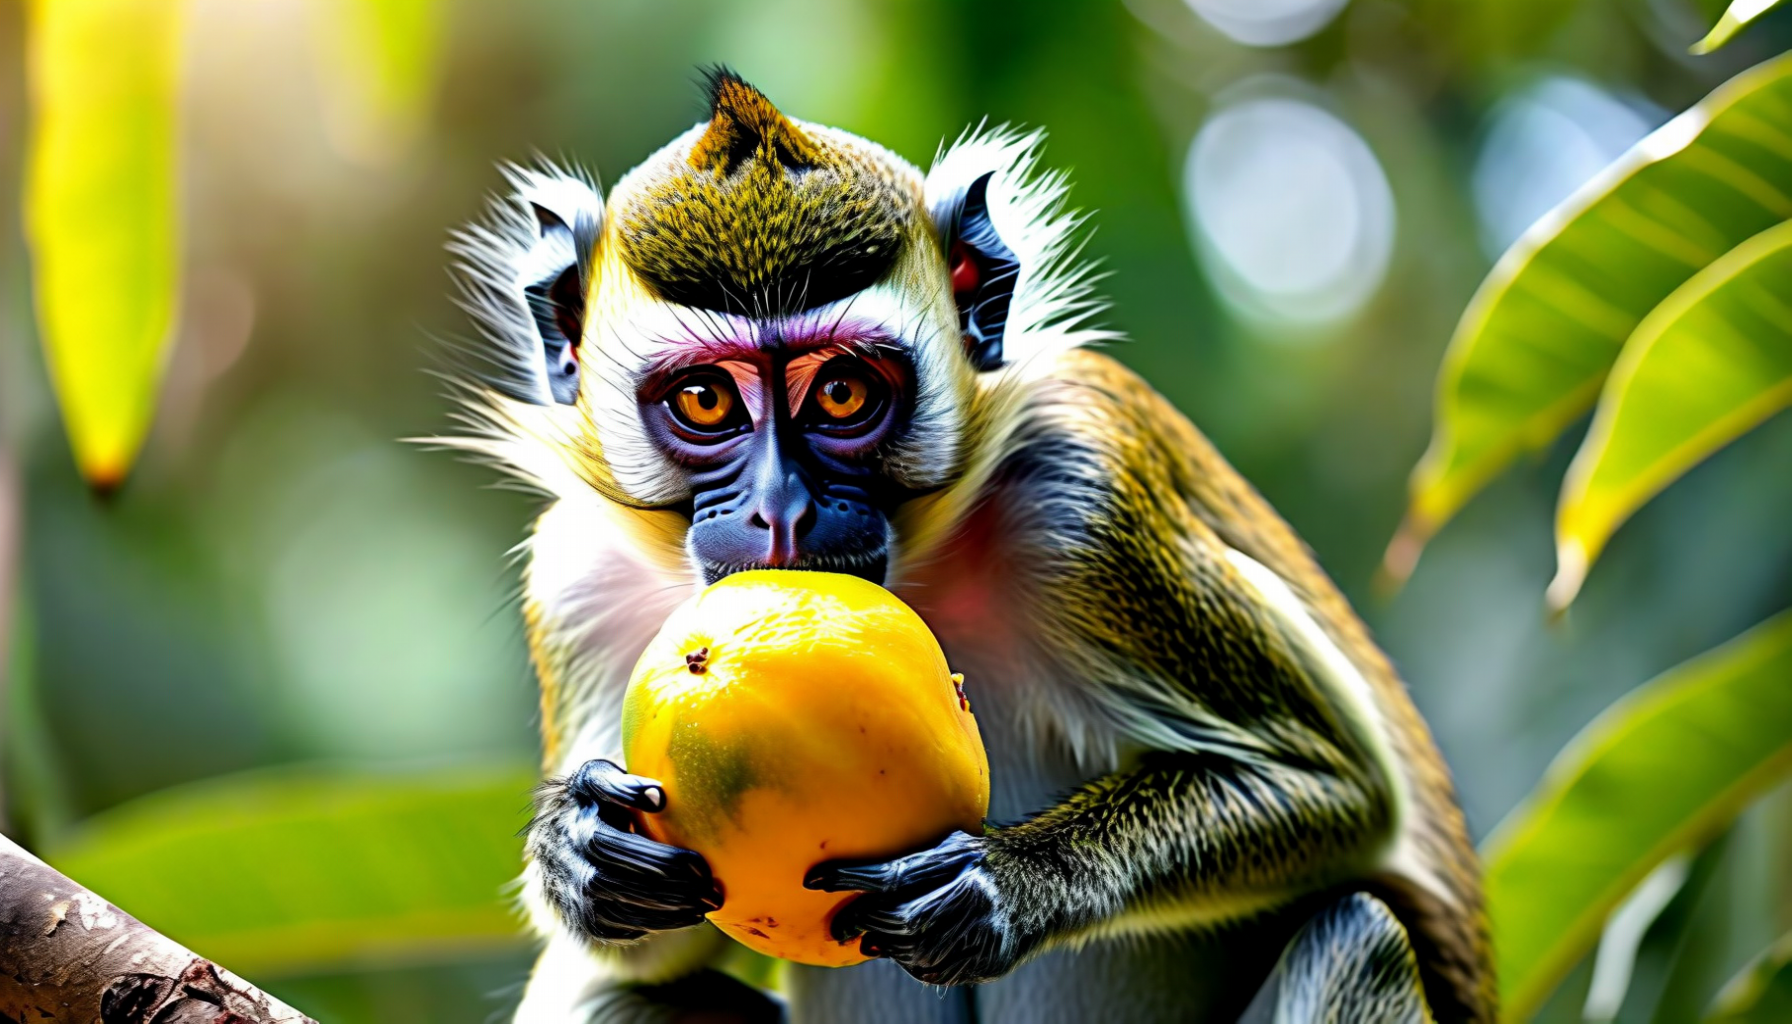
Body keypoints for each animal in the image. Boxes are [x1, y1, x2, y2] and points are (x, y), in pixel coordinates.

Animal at [445, 69, 1494, 1024]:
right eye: (704, 400)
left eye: (843, 393)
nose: (782, 510)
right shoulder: (577, 579)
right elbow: (631, 955)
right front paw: (581, 851)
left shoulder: (1082, 502)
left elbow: (1334, 787)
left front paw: (1005, 886)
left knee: (1354, 933)